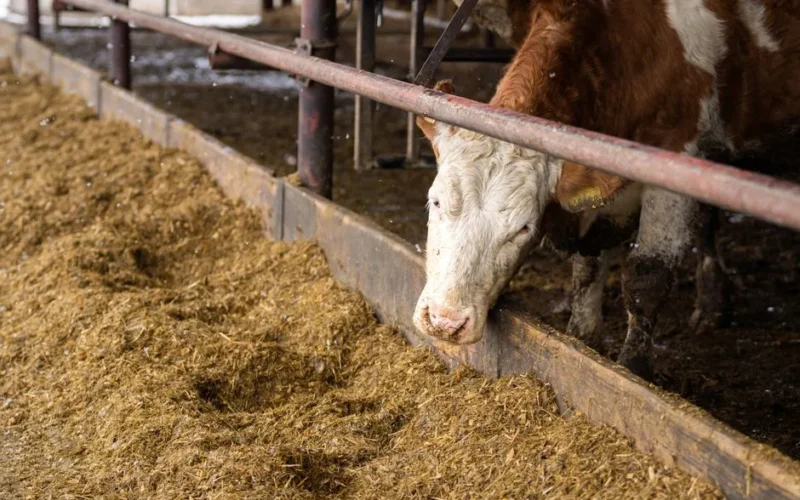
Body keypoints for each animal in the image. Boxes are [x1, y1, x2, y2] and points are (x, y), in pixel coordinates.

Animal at [412, 0, 800, 378]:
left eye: (524, 228)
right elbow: (587, 270)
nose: (445, 322)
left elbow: (647, 278)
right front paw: (581, 338)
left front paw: (633, 367)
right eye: (436, 202)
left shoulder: (678, 159)